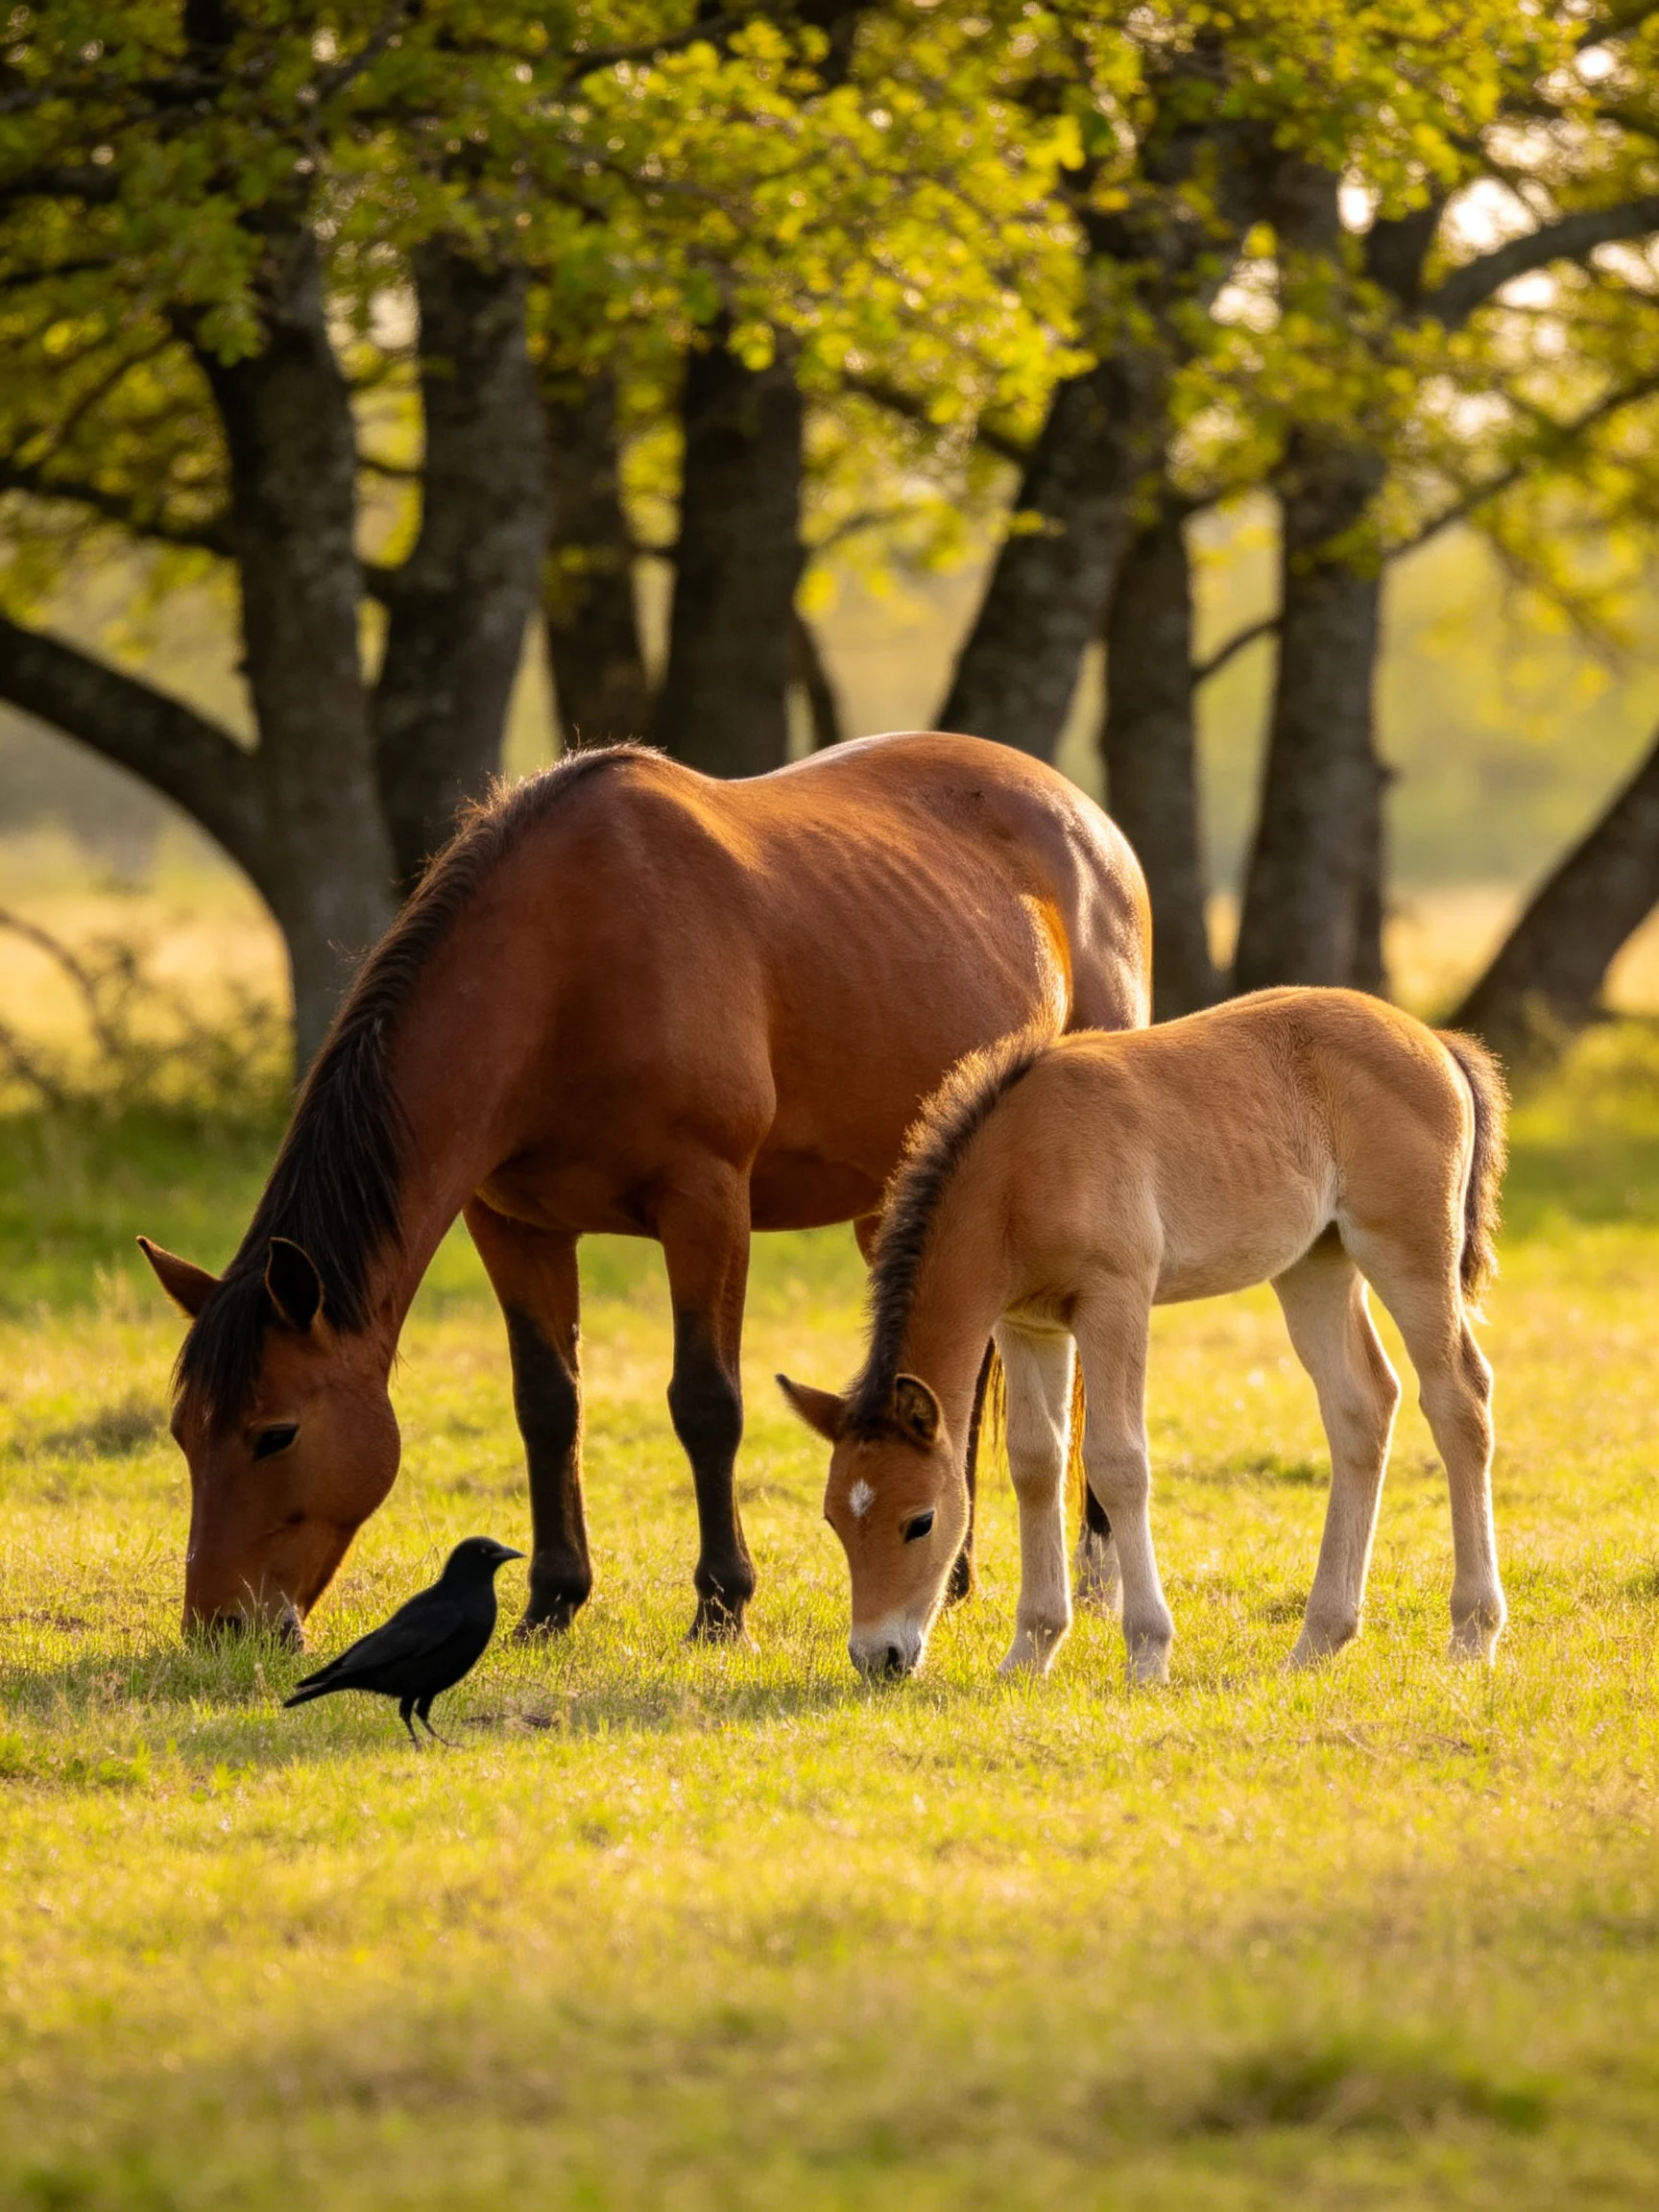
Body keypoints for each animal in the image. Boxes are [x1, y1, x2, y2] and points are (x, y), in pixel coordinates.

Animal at [139, 733, 1149, 1644]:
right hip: (904, 1198)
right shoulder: (510, 1223)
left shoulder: (705, 1203)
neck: (567, 963)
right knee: (954, 1373)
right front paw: (550, 1602)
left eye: (275, 1432)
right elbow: (546, 1405)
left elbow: (707, 1402)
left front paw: (723, 1604)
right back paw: (956, 1574)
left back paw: (1092, 1575)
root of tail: (1085, 818)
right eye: (185, 1430)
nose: (220, 1627)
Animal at [779, 987, 1509, 1684]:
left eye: (920, 1521)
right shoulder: (1026, 1324)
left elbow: (1117, 1462)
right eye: (833, 1519)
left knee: (1458, 1398)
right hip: (1314, 1265)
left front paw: (1148, 1652)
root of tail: (1435, 1041)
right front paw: (1031, 1651)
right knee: (1362, 1406)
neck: (1020, 1167)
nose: (878, 1657)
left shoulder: (1116, 1300)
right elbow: (1035, 1463)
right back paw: (1318, 1641)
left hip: (1408, 1253)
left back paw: (1472, 1633)